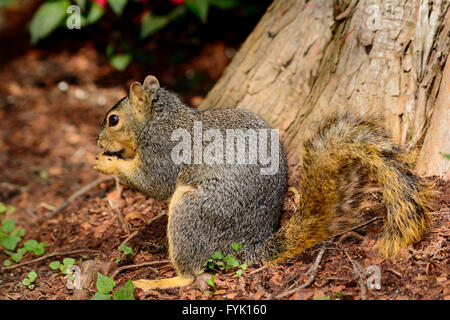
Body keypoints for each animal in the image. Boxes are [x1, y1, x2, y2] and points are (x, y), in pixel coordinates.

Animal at [94, 75, 432, 290]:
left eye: (113, 119)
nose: (97, 142)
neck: (158, 118)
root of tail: (248, 248)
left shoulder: (162, 150)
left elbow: (155, 183)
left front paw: (107, 163)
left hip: (191, 210)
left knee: (192, 272)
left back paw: (160, 281)